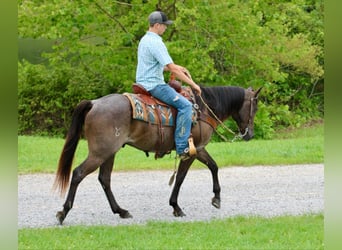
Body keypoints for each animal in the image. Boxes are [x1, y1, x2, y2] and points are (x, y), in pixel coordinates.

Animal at [53, 84, 262, 225]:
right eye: (255, 108)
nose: (249, 134)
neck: (203, 109)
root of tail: (94, 103)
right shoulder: (192, 151)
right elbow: (181, 177)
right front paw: (176, 207)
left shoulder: (199, 149)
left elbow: (213, 166)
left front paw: (216, 199)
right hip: (100, 153)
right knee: (78, 173)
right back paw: (63, 213)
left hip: (109, 153)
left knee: (104, 179)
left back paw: (121, 211)